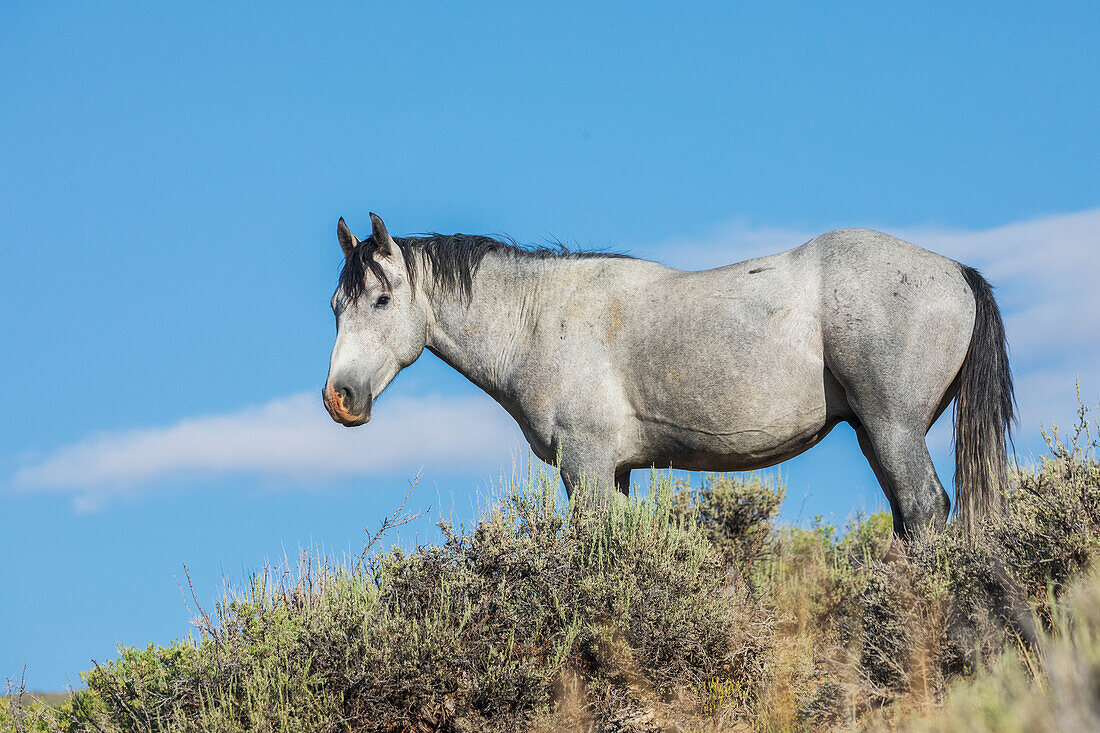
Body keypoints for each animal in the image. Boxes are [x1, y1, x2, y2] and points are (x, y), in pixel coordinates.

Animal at [321, 211, 1012, 537]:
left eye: (381, 300)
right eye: (335, 307)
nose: (339, 398)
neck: (541, 318)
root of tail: (956, 272)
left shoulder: (586, 465)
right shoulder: (617, 470)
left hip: (894, 428)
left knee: (924, 509)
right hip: (875, 434)